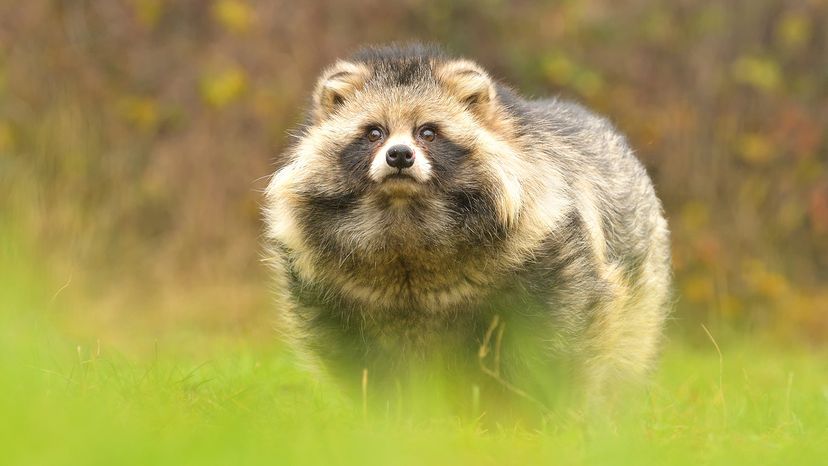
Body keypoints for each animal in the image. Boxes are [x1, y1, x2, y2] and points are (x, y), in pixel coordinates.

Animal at [263, 44, 671, 411]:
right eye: (373, 132)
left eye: (428, 132)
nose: (399, 156)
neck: (404, 216)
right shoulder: (330, 285)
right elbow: (353, 356)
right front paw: (387, 412)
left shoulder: (550, 245)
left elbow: (559, 335)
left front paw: (539, 408)